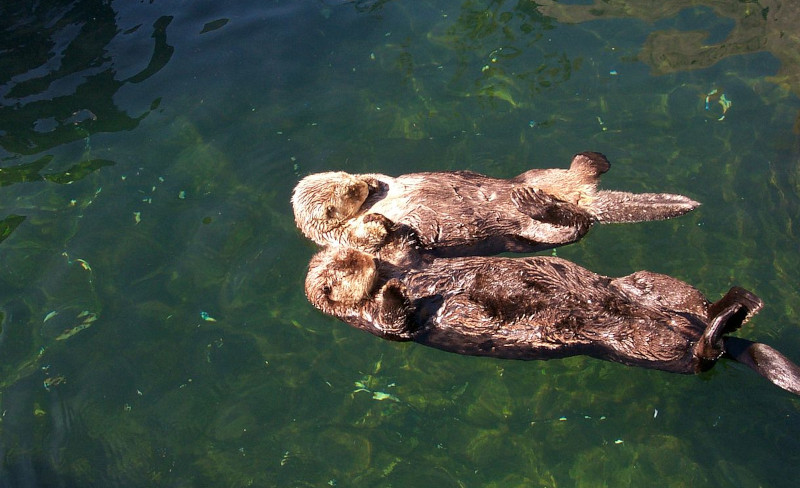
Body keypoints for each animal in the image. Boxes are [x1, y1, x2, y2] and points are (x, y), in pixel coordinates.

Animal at [291, 152, 700, 255]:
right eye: (348, 195)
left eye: (348, 182)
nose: (359, 185)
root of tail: (585, 199)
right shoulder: (343, 239)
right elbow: (369, 239)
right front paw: (379, 221)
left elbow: (382, 177)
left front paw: (374, 180)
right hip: (535, 233)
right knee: (572, 224)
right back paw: (535, 202)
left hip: (535, 172)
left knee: (579, 174)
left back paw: (591, 160)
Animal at [304, 243, 800, 396]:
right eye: (343, 268)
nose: (361, 254)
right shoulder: (377, 320)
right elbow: (396, 321)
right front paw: (396, 292)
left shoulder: (412, 261)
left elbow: (411, 252)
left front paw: (393, 234)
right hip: (641, 344)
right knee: (701, 356)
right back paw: (731, 316)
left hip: (654, 286)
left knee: (692, 304)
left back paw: (740, 302)